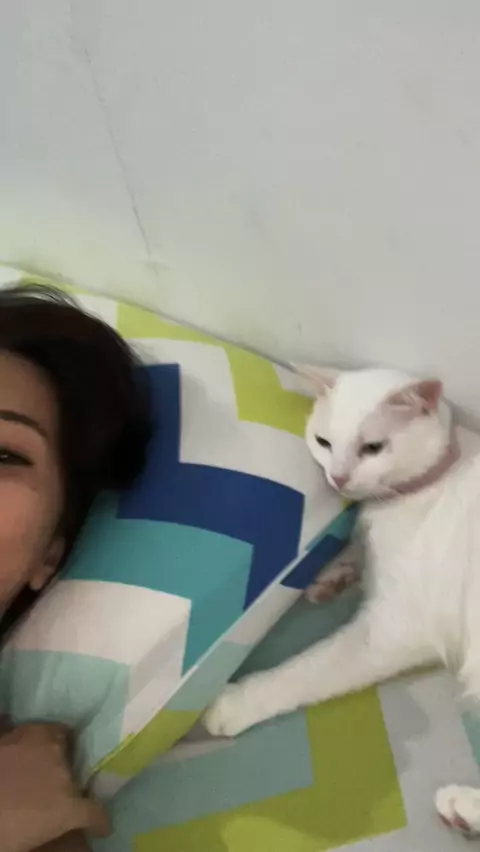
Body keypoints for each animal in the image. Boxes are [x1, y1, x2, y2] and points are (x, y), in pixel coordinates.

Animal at [204, 366, 480, 838]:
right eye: (324, 442)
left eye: (373, 448)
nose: (338, 478)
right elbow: (357, 548)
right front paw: (335, 572)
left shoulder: (391, 632)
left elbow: (304, 671)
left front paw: (234, 704)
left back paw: (462, 806)